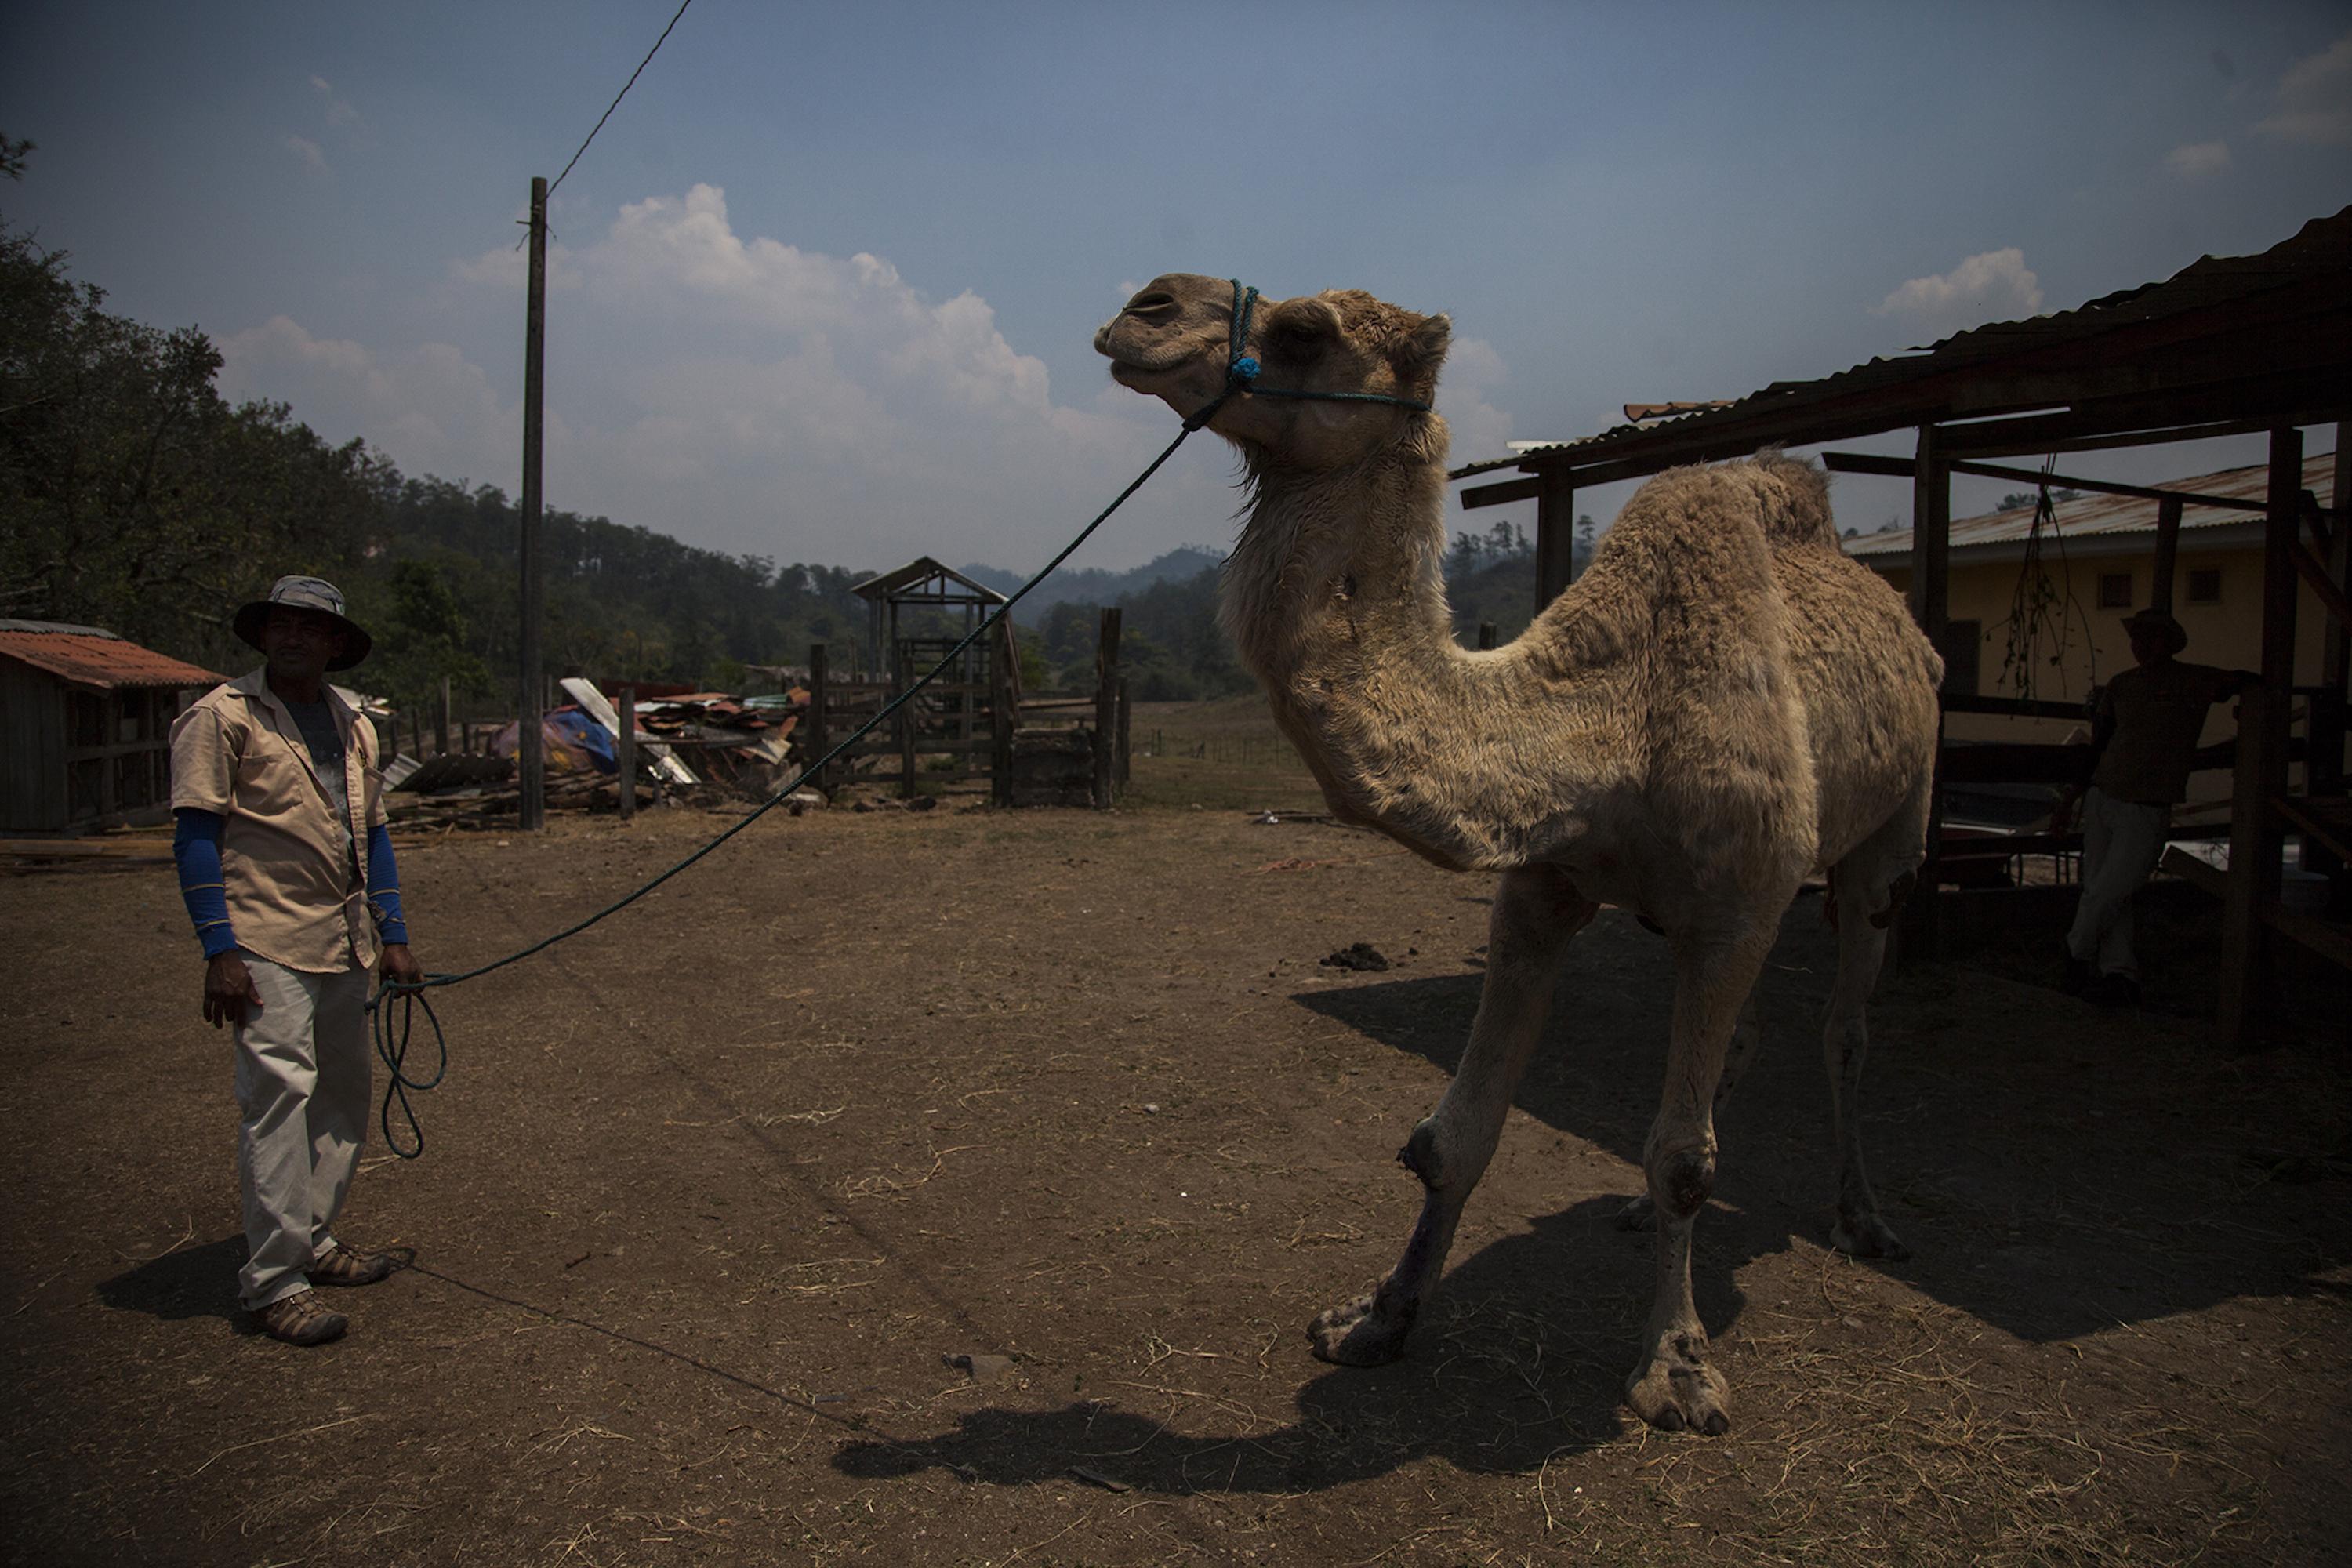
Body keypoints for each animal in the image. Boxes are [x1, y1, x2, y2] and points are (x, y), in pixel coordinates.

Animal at [1101, 272, 1947, 1439]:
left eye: (1306, 330)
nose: (1142, 309)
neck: (1606, 723)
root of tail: (1906, 625)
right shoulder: (1543, 888)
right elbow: (1454, 1135)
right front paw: (1375, 1317)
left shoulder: (1740, 901)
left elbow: (1688, 1159)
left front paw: (1677, 1371)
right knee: (1740, 1044)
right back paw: (1633, 1207)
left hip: (1888, 835)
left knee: (1846, 1029)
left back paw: (1862, 1217)